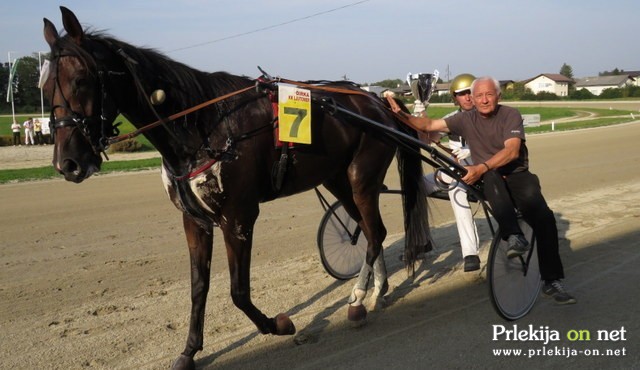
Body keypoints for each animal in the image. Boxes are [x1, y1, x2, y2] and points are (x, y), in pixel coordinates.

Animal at [42, 6, 432, 370]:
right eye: (45, 87)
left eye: (80, 80)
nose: (67, 163)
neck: (200, 127)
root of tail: (378, 102)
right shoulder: (194, 220)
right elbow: (198, 288)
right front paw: (189, 351)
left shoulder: (239, 217)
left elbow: (238, 292)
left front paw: (278, 324)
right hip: (338, 181)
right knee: (370, 230)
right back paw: (377, 292)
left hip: (361, 178)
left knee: (375, 231)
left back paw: (359, 298)